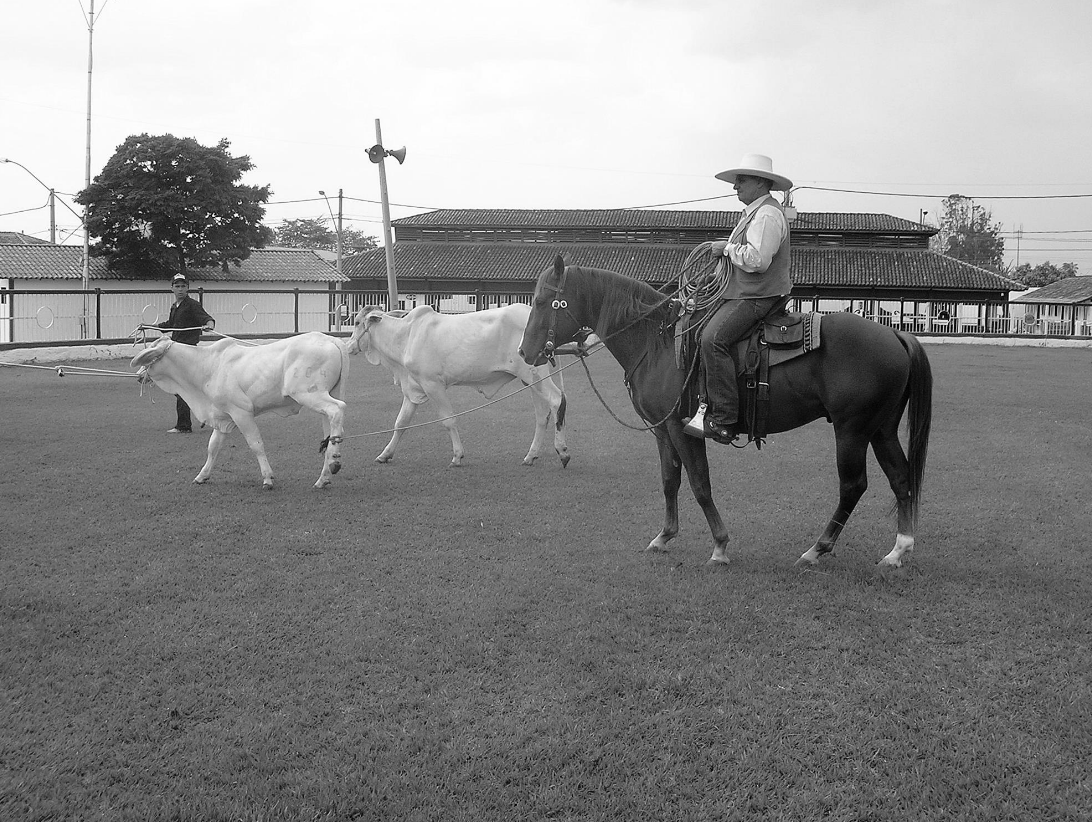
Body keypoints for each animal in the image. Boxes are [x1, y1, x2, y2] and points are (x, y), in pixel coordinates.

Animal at [129, 331, 347, 486]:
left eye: (150, 355)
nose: (139, 376)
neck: (207, 366)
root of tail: (329, 338)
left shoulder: (241, 412)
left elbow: (256, 444)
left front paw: (267, 478)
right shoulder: (223, 417)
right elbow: (213, 447)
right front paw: (202, 475)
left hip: (308, 393)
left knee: (338, 409)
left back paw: (335, 461)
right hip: (326, 394)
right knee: (330, 425)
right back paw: (325, 476)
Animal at [347, 303, 572, 467]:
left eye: (357, 322)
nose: (348, 346)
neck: (406, 335)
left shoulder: (433, 385)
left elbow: (448, 420)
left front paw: (457, 456)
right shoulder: (414, 388)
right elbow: (401, 422)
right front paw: (385, 454)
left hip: (534, 375)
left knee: (557, 400)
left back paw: (562, 451)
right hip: (532, 380)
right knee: (542, 415)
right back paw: (530, 456)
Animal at [519, 259, 930, 567]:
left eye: (541, 301)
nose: (525, 352)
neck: (657, 343)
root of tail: (896, 335)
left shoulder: (682, 428)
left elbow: (700, 484)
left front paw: (719, 546)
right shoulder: (662, 430)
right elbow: (670, 481)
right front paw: (664, 536)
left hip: (851, 430)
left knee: (853, 486)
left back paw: (817, 549)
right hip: (881, 429)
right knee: (900, 477)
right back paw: (898, 551)